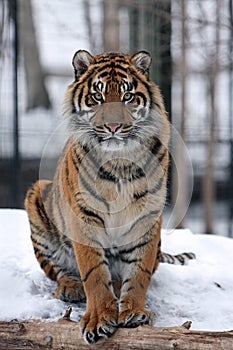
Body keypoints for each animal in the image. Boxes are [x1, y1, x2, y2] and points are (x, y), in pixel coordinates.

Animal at [24, 50, 195, 344]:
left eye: (127, 96)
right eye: (97, 96)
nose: (113, 126)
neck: (120, 162)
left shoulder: (147, 217)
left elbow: (139, 272)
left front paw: (134, 312)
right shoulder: (85, 216)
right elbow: (93, 273)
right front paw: (98, 319)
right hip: (37, 196)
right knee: (58, 271)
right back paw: (71, 287)